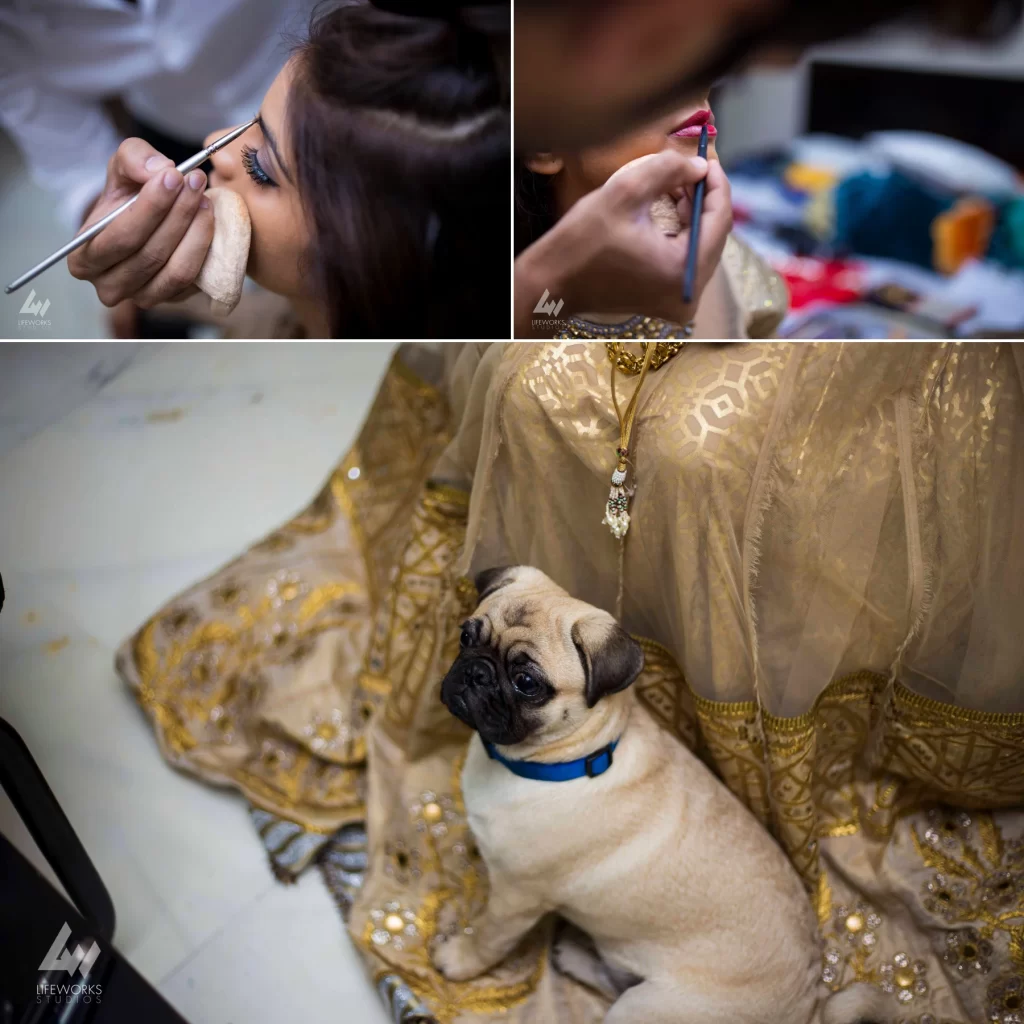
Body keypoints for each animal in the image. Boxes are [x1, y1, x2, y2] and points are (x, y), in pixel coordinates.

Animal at [432, 569, 888, 1024]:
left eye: (526, 683)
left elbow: (488, 938)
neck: (571, 761)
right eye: (466, 636)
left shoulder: (515, 898)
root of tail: (809, 1004)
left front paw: (459, 958)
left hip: (642, 1007)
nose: (475, 672)